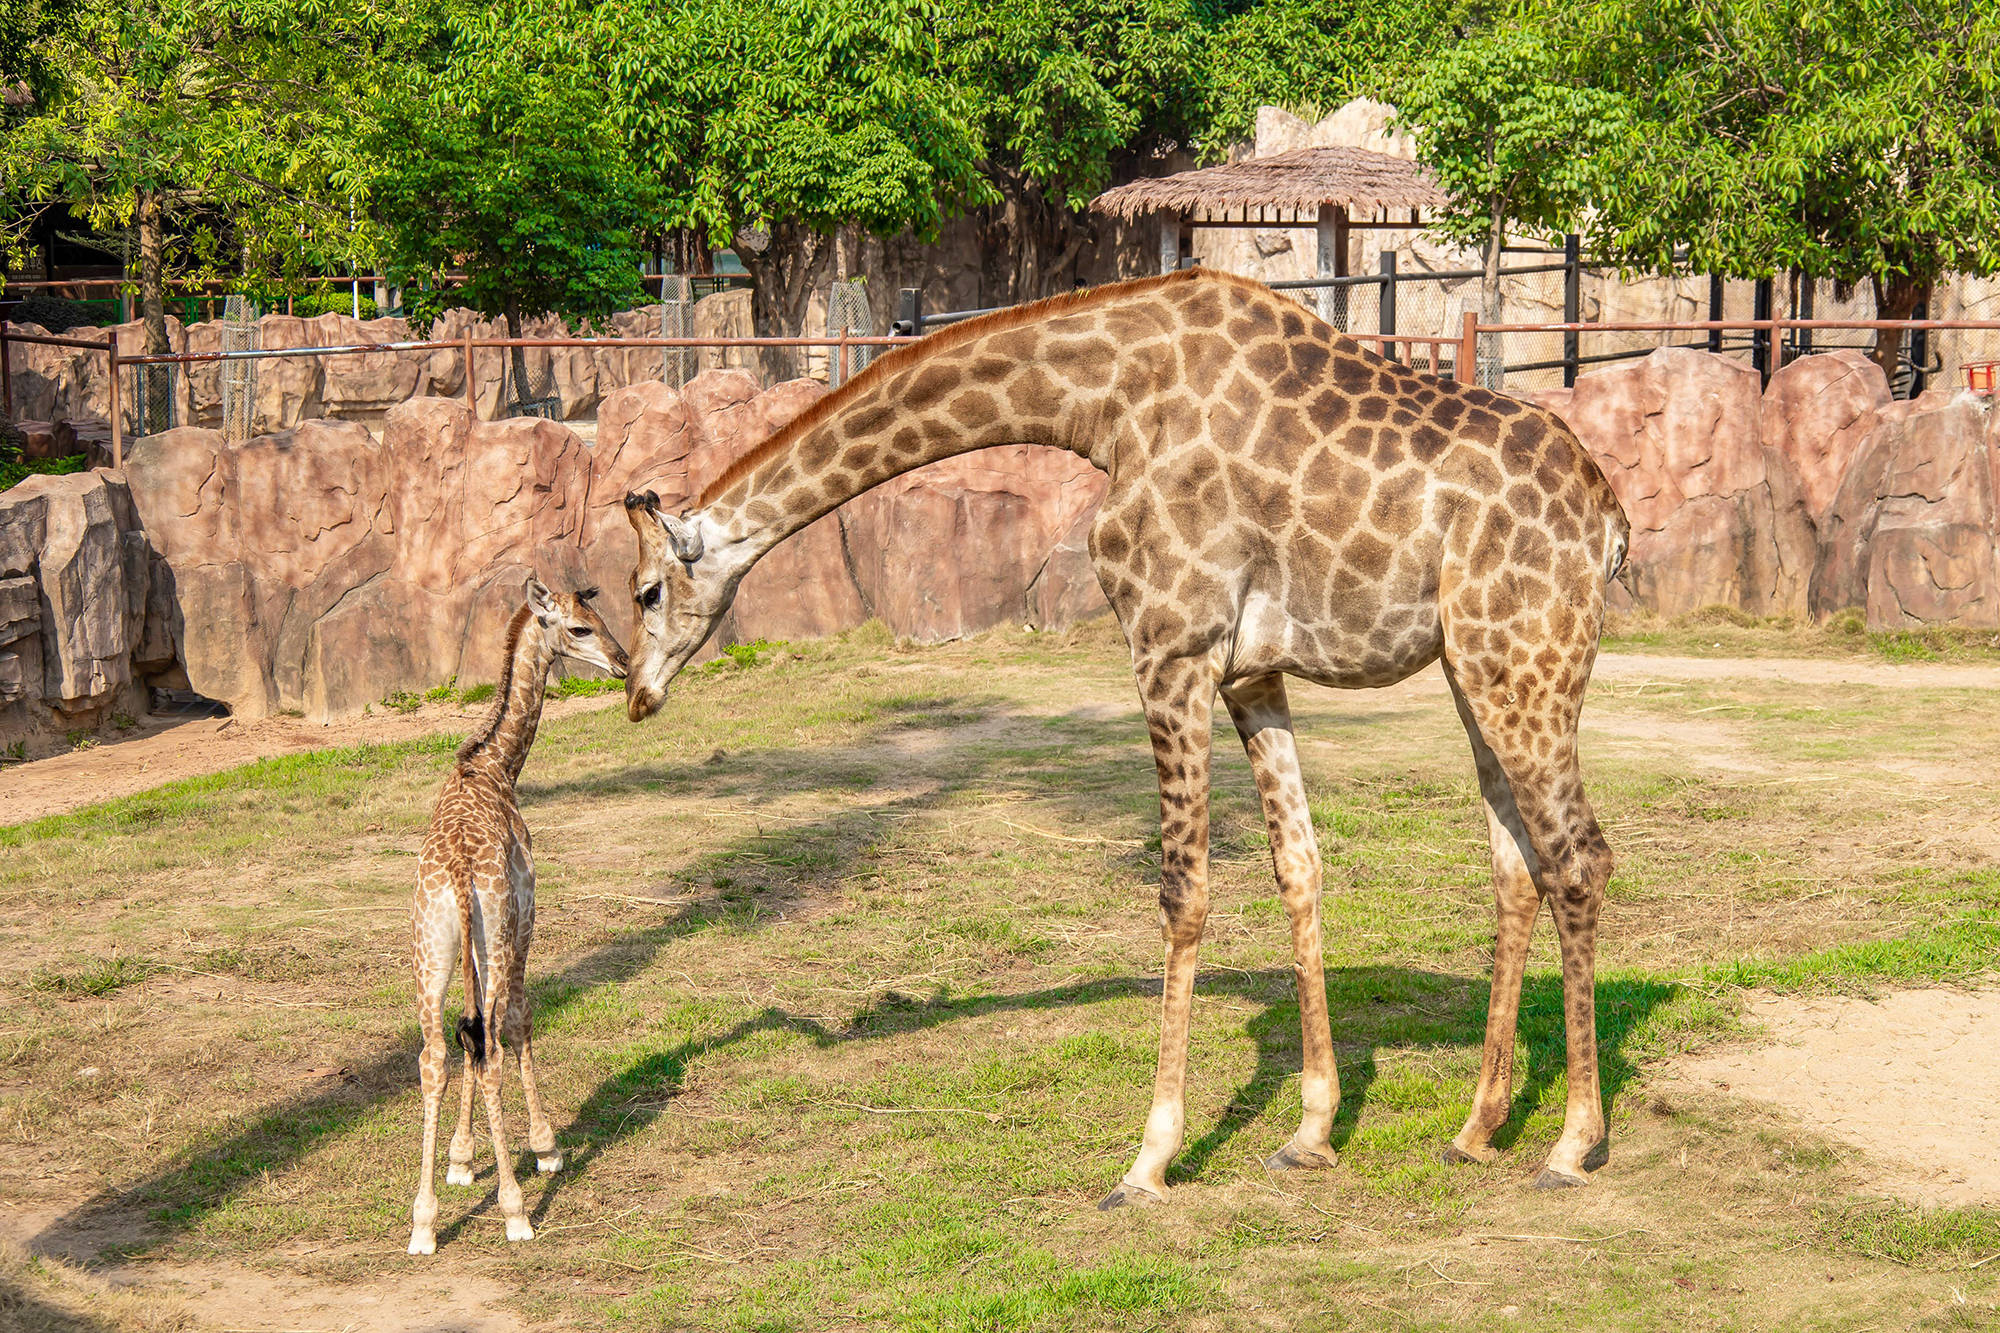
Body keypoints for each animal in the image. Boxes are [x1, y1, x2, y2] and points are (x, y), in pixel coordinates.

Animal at [406, 576, 624, 1248]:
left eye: (599, 616)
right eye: (579, 628)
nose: (623, 662)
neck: (496, 765)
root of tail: (455, 874)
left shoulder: (471, 948)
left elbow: (469, 1035)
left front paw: (460, 1159)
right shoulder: (526, 918)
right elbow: (519, 1023)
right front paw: (546, 1148)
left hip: (430, 951)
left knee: (435, 1055)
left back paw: (422, 1224)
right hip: (499, 935)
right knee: (497, 1046)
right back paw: (516, 1211)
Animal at [620, 264, 1624, 1200]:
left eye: (647, 591)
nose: (637, 693)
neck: (1101, 401)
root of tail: (1609, 520)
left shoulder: (1169, 647)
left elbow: (1184, 890)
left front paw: (1149, 1158)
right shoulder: (1250, 671)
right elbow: (1297, 865)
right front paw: (1310, 1131)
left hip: (1522, 656)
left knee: (1578, 855)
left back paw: (1571, 1144)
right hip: (1478, 664)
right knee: (1517, 861)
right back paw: (1478, 1126)